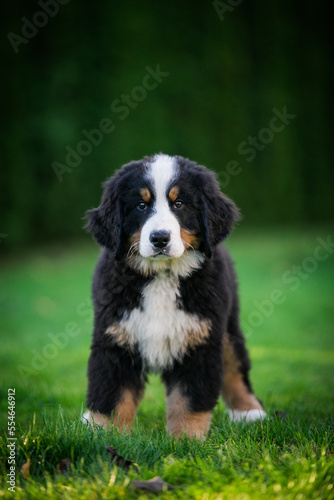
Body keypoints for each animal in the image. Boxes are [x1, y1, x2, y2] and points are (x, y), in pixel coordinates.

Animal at [83, 153, 266, 438]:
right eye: (141, 206)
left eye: (179, 204)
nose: (160, 238)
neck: (162, 276)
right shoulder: (115, 339)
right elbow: (111, 396)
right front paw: (102, 435)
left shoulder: (199, 341)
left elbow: (188, 401)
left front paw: (185, 440)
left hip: (228, 326)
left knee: (235, 366)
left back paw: (249, 411)